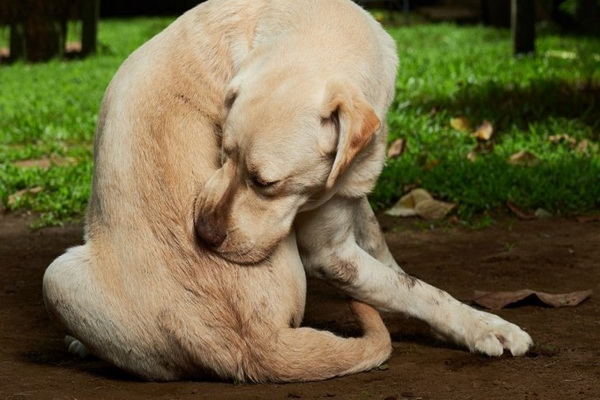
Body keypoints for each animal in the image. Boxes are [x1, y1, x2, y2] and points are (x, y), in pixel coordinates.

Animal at [42, 0, 532, 382]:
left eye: (266, 183)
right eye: (223, 153)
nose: (202, 234)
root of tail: (255, 345)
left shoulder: (349, 200)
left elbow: (395, 268)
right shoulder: (331, 254)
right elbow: (416, 288)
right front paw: (484, 325)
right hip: (56, 276)